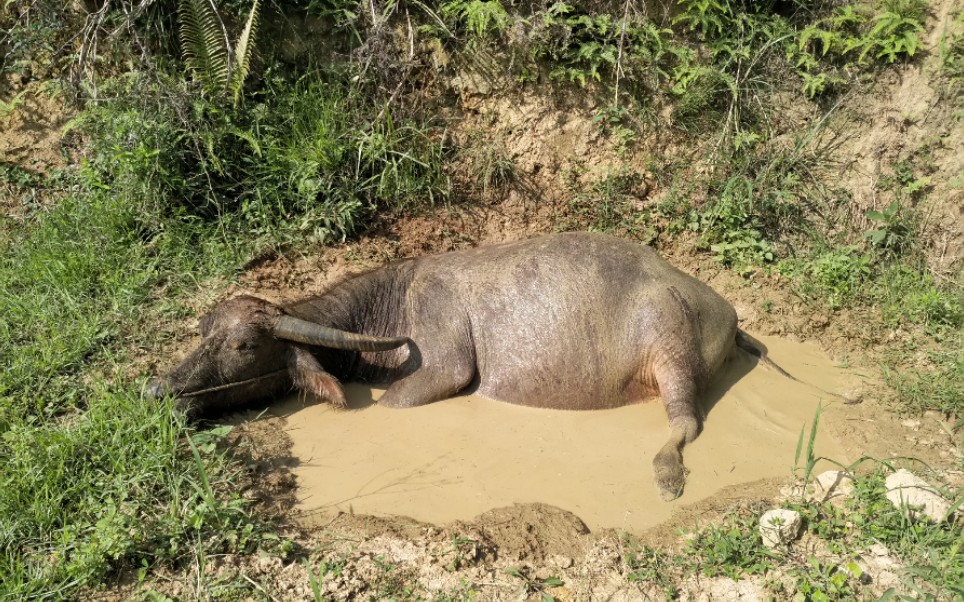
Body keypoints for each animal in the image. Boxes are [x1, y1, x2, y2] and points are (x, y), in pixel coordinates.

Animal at [151, 232, 772, 500]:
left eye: (244, 347)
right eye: (203, 333)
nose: (162, 390)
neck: (394, 304)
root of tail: (721, 304)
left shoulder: (443, 369)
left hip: (670, 345)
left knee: (685, 421)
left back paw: (667, 474)